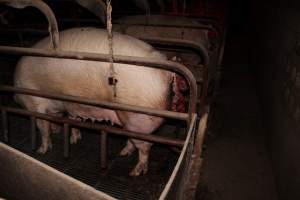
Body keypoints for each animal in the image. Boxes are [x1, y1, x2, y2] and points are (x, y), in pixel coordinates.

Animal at [14, 27, 176, 177]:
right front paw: (74, 140)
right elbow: (73, 120)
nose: (57, 130)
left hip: (138, 118)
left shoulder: (34, 103)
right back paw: (122, 153)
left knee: (146, 145)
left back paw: (135, 172)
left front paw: (41, 151)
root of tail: (166, 73)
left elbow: (43, 128)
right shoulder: (72, 105)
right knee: (132, 141)